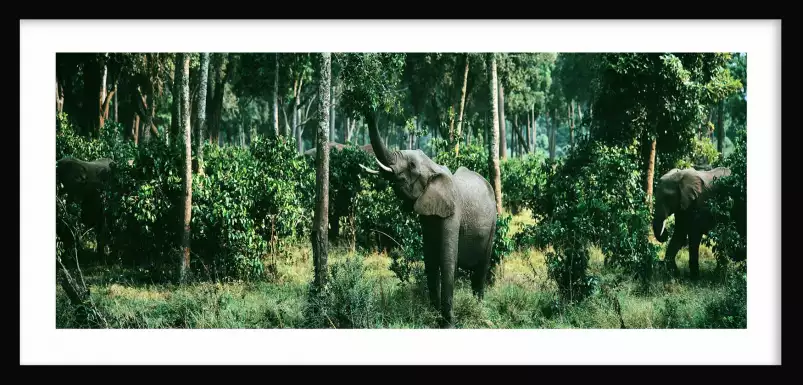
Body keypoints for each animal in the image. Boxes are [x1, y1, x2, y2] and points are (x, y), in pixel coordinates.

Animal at [358, 110, 496, 328]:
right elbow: (430, 259)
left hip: (493, 224)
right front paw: (434, 317)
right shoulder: (427, 214)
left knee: (481, 269)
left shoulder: (453, 212)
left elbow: (447, 261)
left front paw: (448, 324)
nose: (370, 109)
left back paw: (479, 309)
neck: (433, 167)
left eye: (412, 165)